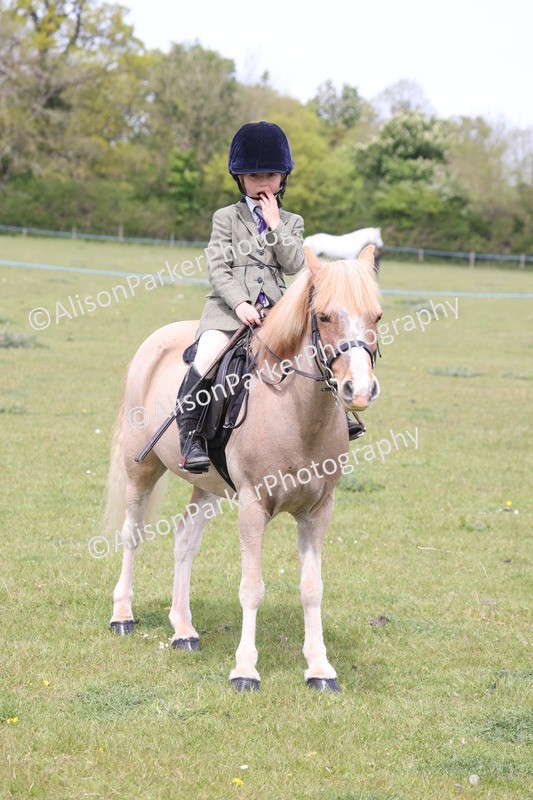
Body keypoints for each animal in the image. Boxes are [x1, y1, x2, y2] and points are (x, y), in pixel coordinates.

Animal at [103, 245, 382, 692]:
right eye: (323, 316)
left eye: (377, 316)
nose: (359, 391)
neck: (295, 413)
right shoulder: (252, 506)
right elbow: (252, 587)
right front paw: (245, 670)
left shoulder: (318, 511)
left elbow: (312, 588)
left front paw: (320, 669)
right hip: (141, 469)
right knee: (132, 534)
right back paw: (123, 615)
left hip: (208, 486)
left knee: (185, 540)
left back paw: (183, 629)